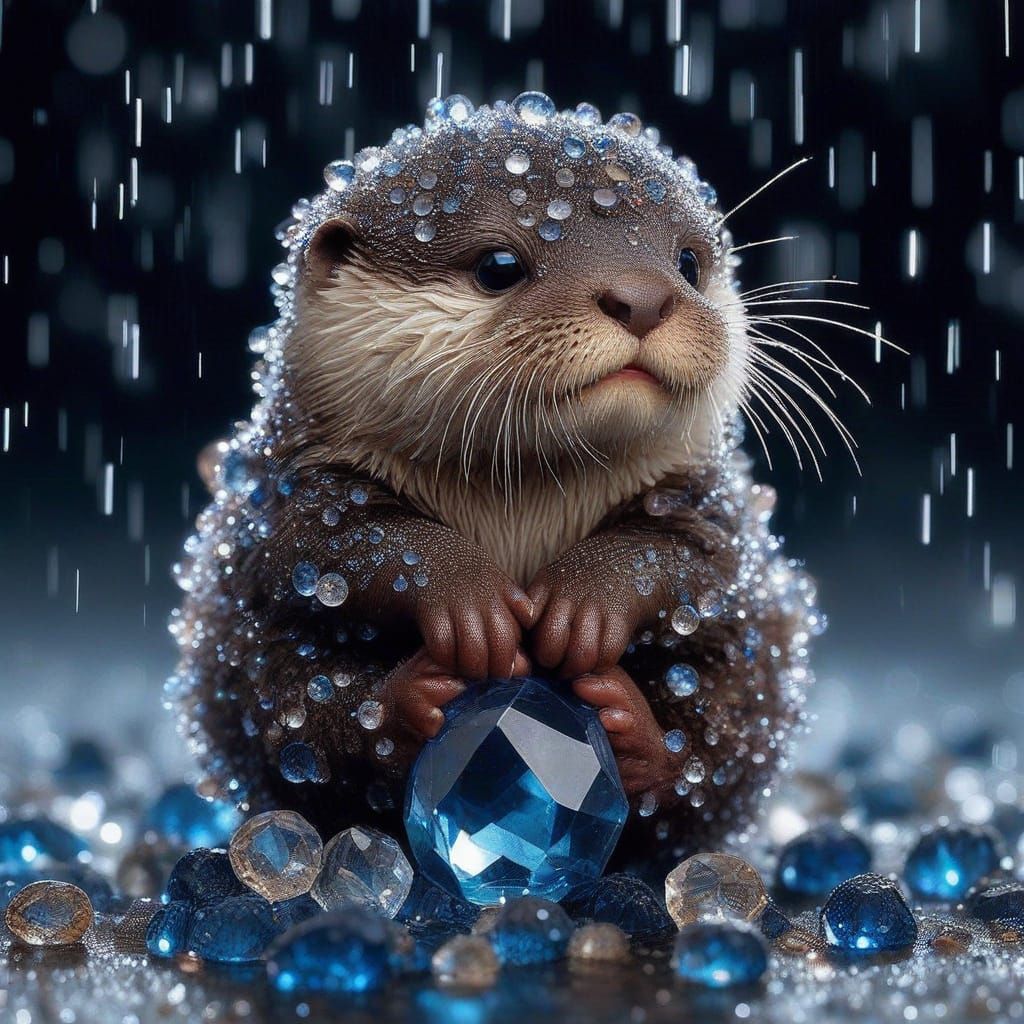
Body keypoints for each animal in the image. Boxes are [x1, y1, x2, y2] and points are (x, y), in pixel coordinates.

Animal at [169, 93, 820, 865]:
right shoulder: (283, 482)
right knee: (302, 716)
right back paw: (406, 704)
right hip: (246, 669)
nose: (642, 298)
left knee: (716, 739)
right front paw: (469, 602)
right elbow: (329, 541)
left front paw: (583, 605)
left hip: (758, 672)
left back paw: (633, 730)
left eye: (688, 260)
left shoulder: (712, 496)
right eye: (500, 264)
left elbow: (696, 554)